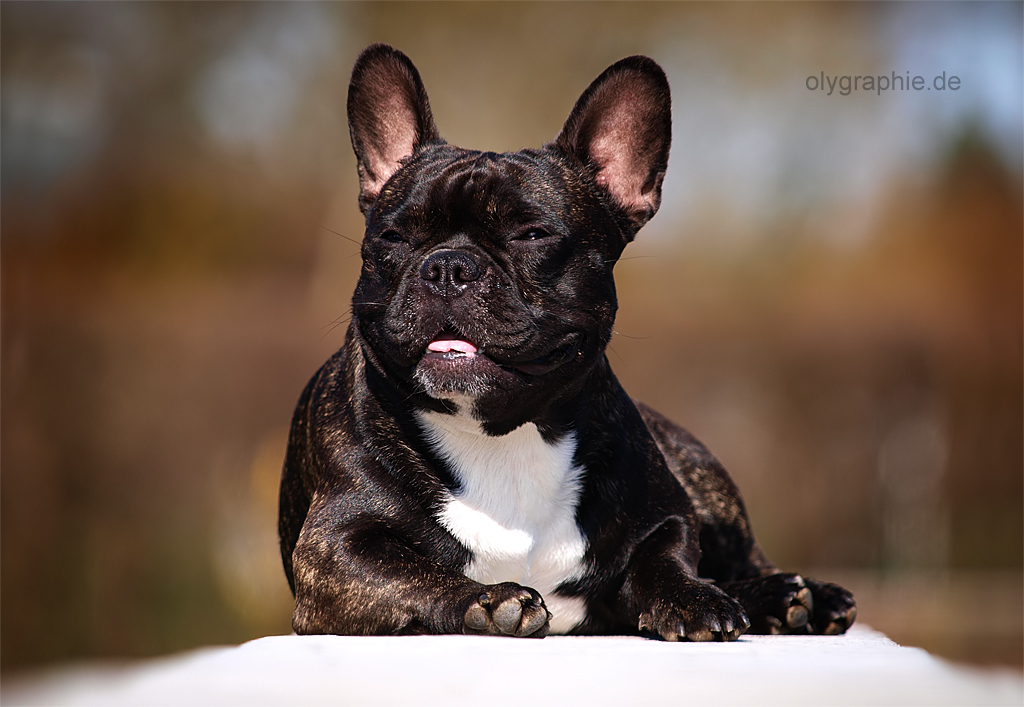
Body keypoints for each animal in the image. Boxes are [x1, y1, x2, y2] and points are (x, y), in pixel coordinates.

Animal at [274, 44, 856, 639]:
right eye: (392, 237)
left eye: (533, 235)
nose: (447, 267)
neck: (500, 433)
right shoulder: (333, 551)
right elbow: (409, 572)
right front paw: (488, 600)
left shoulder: (668, 514)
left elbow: (667, 556)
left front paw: (692, 597)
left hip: (703, 479)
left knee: (745, 562)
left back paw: (794, 595)